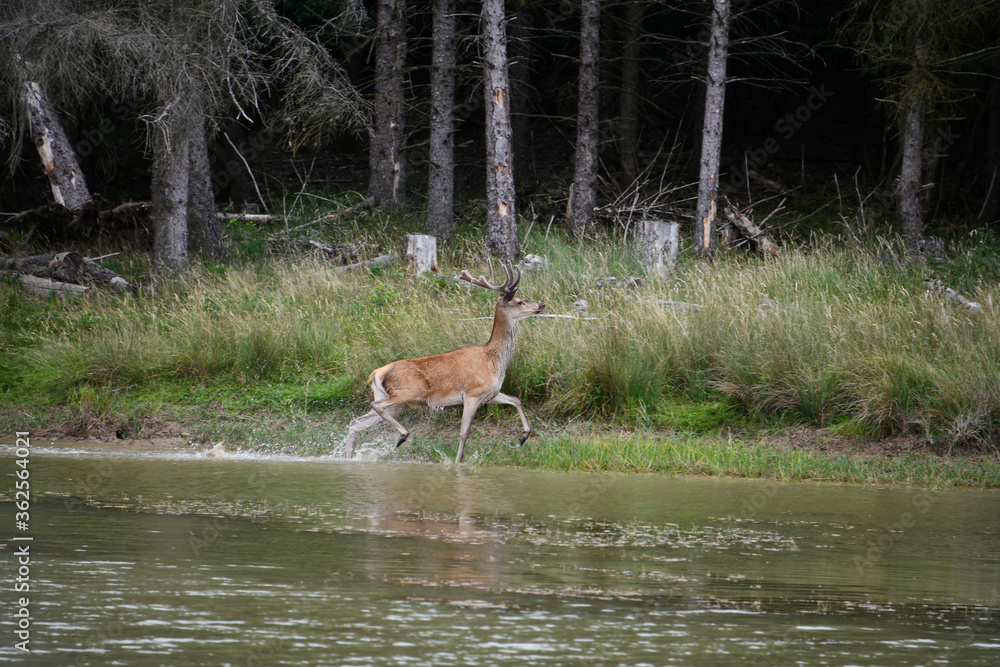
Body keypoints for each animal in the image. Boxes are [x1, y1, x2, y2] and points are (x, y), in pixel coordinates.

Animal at [344, 259, 545, 464]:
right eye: (519, 301)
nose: (541, 304)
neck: (494, 359)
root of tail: (375, 374)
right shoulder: (473, 393)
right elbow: (464, 433)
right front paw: (457, 462)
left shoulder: (490, 393)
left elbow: (516, 400)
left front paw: (524, 436)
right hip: (408, 392)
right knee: (374, 408)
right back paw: (402, 435)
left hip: (395, 401)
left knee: (356, 422)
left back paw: (349, 457)